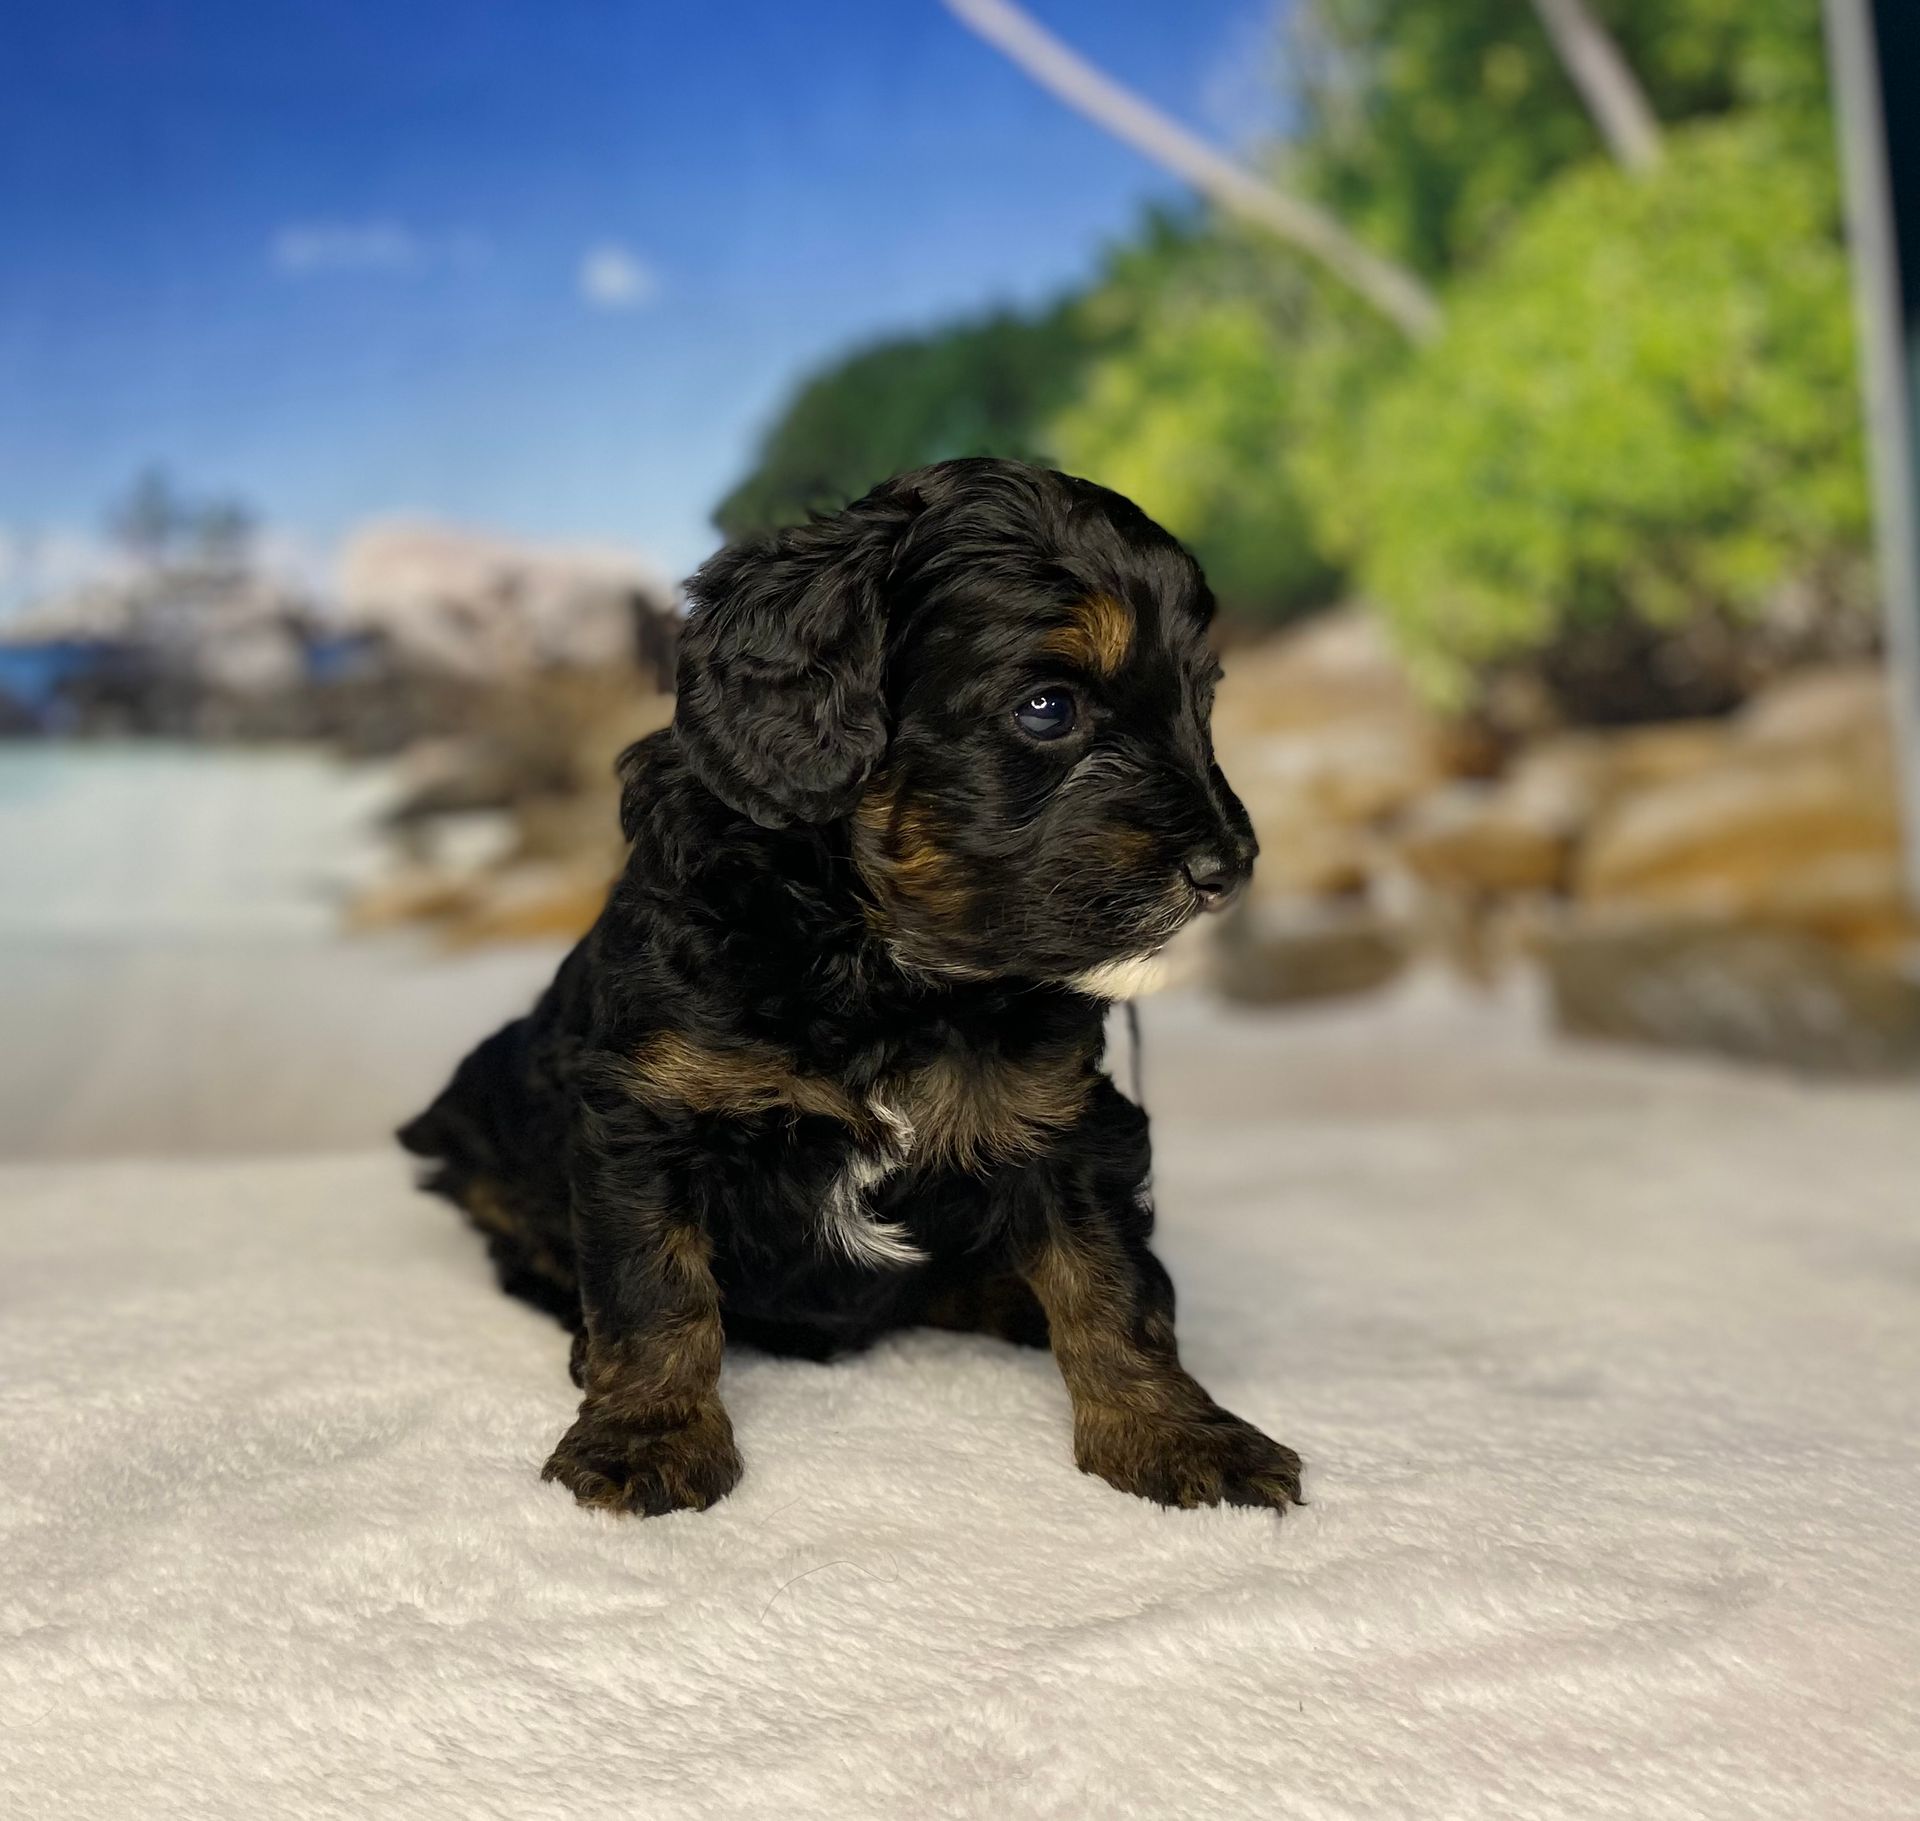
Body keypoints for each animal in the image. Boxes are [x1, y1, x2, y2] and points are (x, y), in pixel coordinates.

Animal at [403, 459, 1305, 1521]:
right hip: (478, 1110)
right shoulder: (644, 1108)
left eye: (1201, 700)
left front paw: (1174, 1433)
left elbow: (1111, 1280)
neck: (885, 962)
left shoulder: (1066, 1118)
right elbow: (654, 1287)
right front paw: (648, 1435)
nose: (1229, 866)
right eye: (1048, 706)